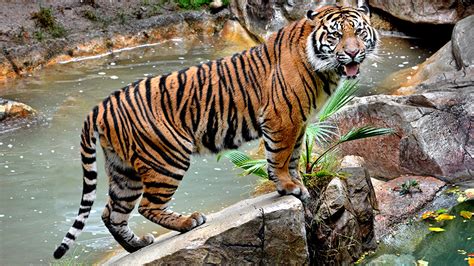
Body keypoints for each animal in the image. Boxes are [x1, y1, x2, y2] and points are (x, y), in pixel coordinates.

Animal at [52, 3, 378, 258]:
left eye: (359, 32)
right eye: (336, 35)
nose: (352, 54)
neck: (323, 67)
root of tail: (100, 107)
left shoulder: (299, 122)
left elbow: (295, 157)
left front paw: (299, 184)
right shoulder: (282, 119)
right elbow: (280, 157)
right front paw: (288, 186)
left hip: (124, 171)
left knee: (112, 213)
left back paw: (137, 245)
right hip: (167, 158)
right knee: (147, 206)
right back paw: (188, 222)